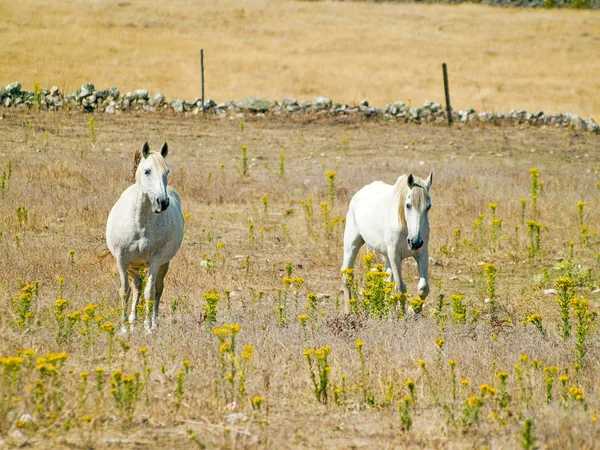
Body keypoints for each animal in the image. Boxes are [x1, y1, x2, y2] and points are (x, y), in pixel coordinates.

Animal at [105, 142, 184, 332]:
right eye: (147, 171)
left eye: (167, 172)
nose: (162, 202)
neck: (139, 223)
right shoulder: (122, 260)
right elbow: (125, 291)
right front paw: (124, 327)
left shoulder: (155, 261)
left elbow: (150, 292)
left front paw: (148, 328)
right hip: (133, 265)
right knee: (137, 287)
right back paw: (133, 321)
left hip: (164, 264)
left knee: (157, 289)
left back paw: (154, 322)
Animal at [342, 171, 432, 314]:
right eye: (408, 205)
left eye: (428, 207)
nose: (414, 242)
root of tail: (360, 192)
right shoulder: (395, 255)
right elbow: (400, 288)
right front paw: (403, 315)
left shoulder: (422, 253)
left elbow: (423, 288)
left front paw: (414, 310)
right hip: (351, 245)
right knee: (347, 277)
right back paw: (348, 312)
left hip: (387, 256)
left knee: (387, 282)